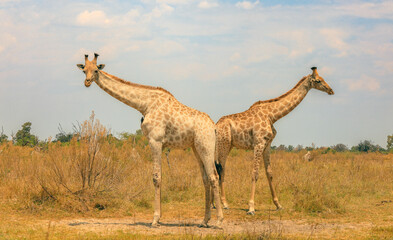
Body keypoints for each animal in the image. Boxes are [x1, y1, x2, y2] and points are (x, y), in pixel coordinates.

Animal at [77, 53, 224, 228]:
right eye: (84, 70)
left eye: (96, 70)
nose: (87, 82)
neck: (144, 104)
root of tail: (213, 127)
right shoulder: (158, 142)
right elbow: (160, 176)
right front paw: (159, 218)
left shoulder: (155, 140)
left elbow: (156, 177)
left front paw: (154, 220)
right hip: (196, 147)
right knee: (206, 178)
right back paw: (204, 221)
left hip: (206, 145)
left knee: (214, 176)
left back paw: (219, 221)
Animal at [216, 66, 332, 215]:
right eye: (318, 80)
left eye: (323, 78)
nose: (331, 90)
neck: (273, 116)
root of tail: (216, 125)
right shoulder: (259, 143)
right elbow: (255, 173)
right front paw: (251, 207)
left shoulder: (267, 144)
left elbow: (269, 173)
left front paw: (278, 205)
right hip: (223, 144)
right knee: (220, 169)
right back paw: (224, 204)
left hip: (227, 145)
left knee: (219, 168)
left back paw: (217, 203)